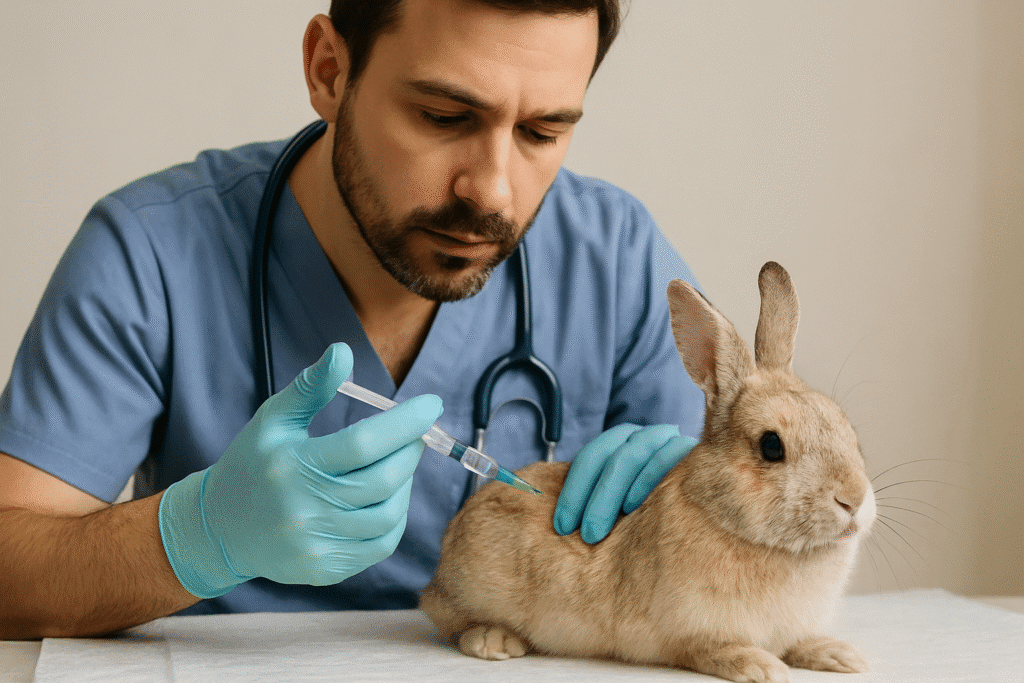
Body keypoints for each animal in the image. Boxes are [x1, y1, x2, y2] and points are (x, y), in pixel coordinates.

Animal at [419, 262, 875, 683]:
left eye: (846, 426)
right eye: (771, 446)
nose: (853, 500)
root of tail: (435, 577)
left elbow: (799, 642)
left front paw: (839, 656)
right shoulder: (689, 633)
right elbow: (713, 650)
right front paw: (761, 667)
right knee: (452, 623)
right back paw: (493, 641)